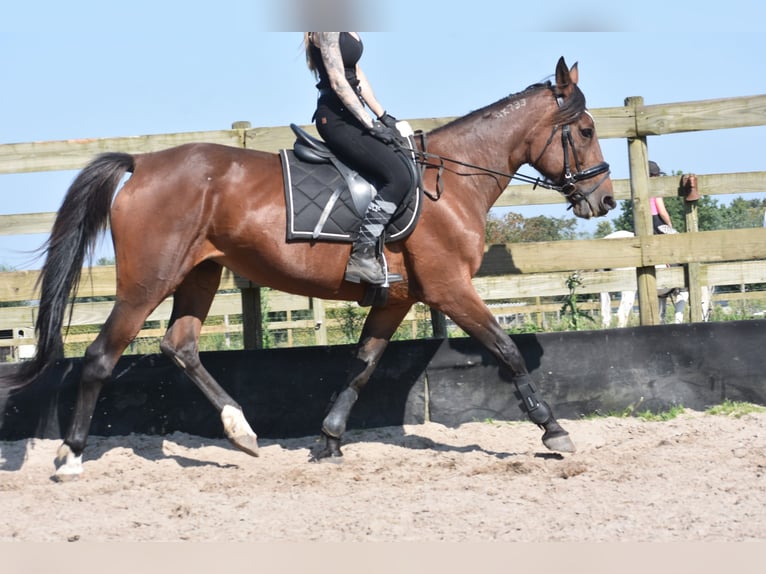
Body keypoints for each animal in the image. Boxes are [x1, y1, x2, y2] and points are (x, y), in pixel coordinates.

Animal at [0, 58, 612, 482]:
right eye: (584, 131)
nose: (603, 200)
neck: (452, 183)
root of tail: (144, 161)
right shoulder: (450, 289)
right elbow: (506, 350)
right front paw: (554, 430)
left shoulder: (397, 299)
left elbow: (361, 368)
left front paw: (328, 441)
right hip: (147, 282)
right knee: (102, 356)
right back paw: (71, 457)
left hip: (200, 275)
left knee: (181, 346)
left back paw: (242, 433)